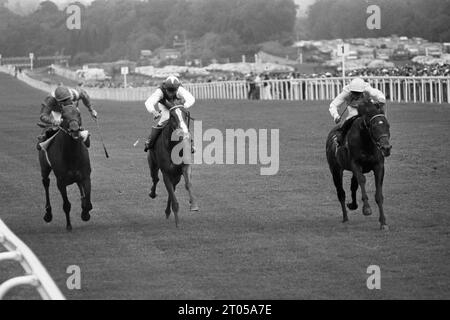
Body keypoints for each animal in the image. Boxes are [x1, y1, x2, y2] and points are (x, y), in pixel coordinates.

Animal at [324, 97, 394, 230]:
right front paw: (366, 208)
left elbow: (378, 194)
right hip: (335, 170)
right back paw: (345, 217)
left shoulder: (379, 166)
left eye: (387, 125)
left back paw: (353, 205)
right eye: (373, 126)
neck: (366, 143)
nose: (386, 148)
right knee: (341, 193)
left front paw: (383, 222)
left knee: (353, 186)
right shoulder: (355, 165)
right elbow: (362, 180)